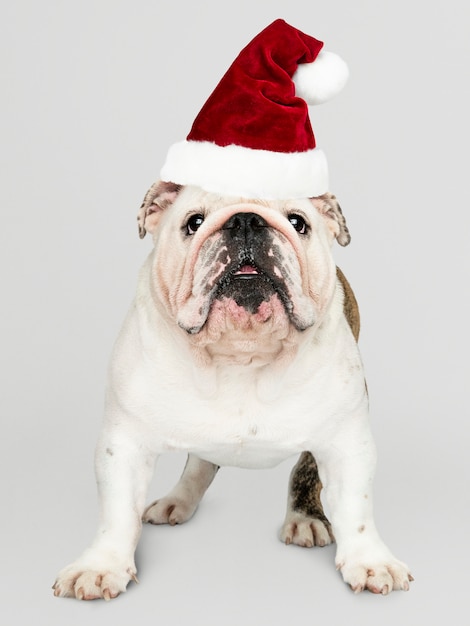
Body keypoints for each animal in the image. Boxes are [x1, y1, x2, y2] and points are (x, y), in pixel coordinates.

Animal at [52, 179, 412, 596]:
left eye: (298, 223)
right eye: (193, 223)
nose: (246, 221)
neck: (241, 353)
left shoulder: (347, 442)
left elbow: (356, 507)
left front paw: (370, 562)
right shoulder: (123, 442)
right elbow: (117, 510)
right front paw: (100, 566)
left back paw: (304, 518)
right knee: (201, 461)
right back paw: (179, 499)